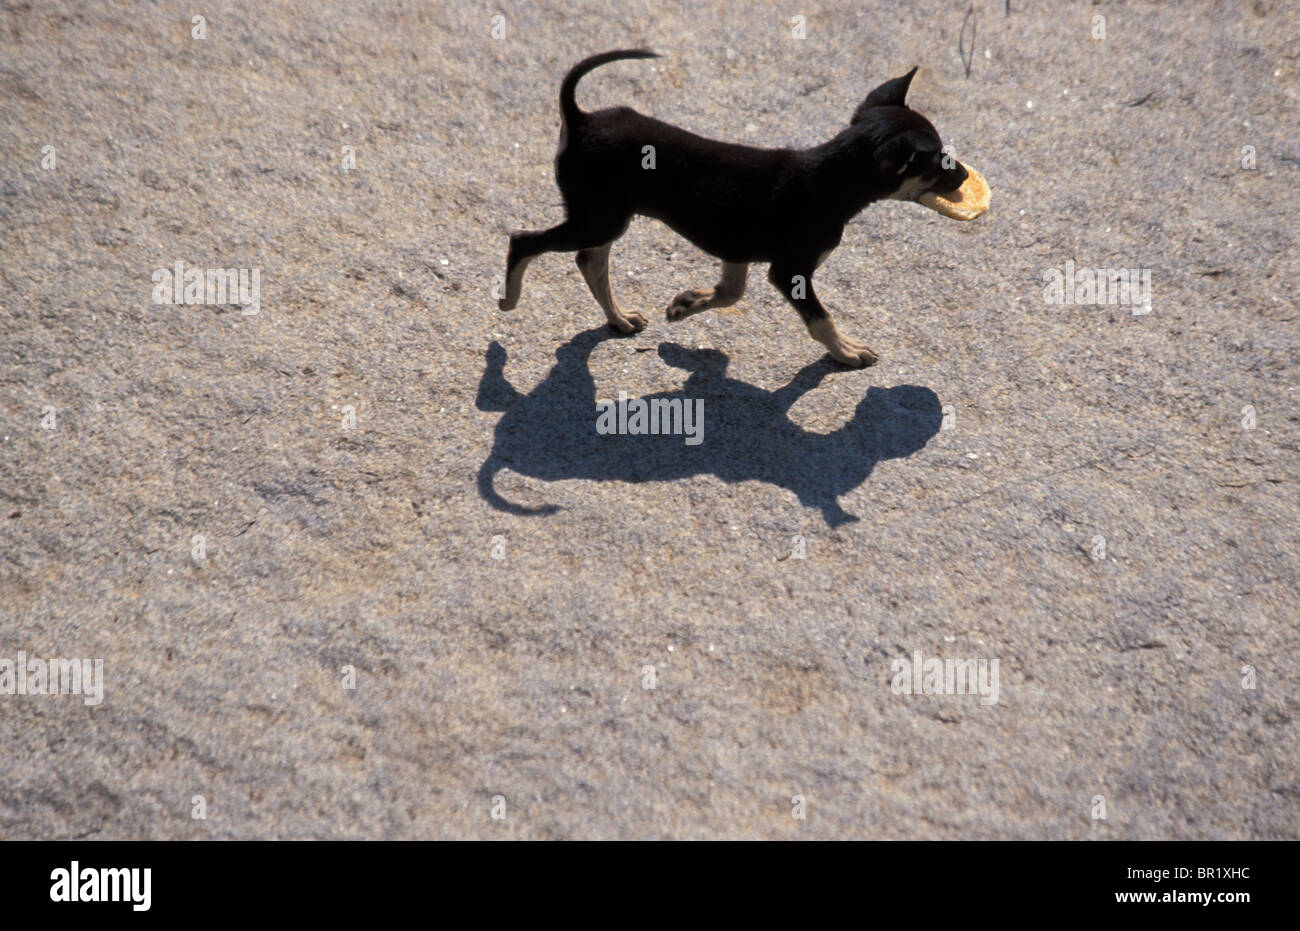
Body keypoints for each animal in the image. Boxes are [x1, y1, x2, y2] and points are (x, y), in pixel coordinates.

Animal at [501, 49, 972, 366]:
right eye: (939, 162)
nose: (967, 177)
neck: (830, 179)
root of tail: (580, 119)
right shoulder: (790, 272)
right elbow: (820, 319)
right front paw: (846, 351)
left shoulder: (736, 250)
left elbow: (731, 293)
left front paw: (688, 303)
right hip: (599, 219)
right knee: (524, 241)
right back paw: (509, 299)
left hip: (604, 215)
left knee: (589, 262)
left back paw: (619, 319)